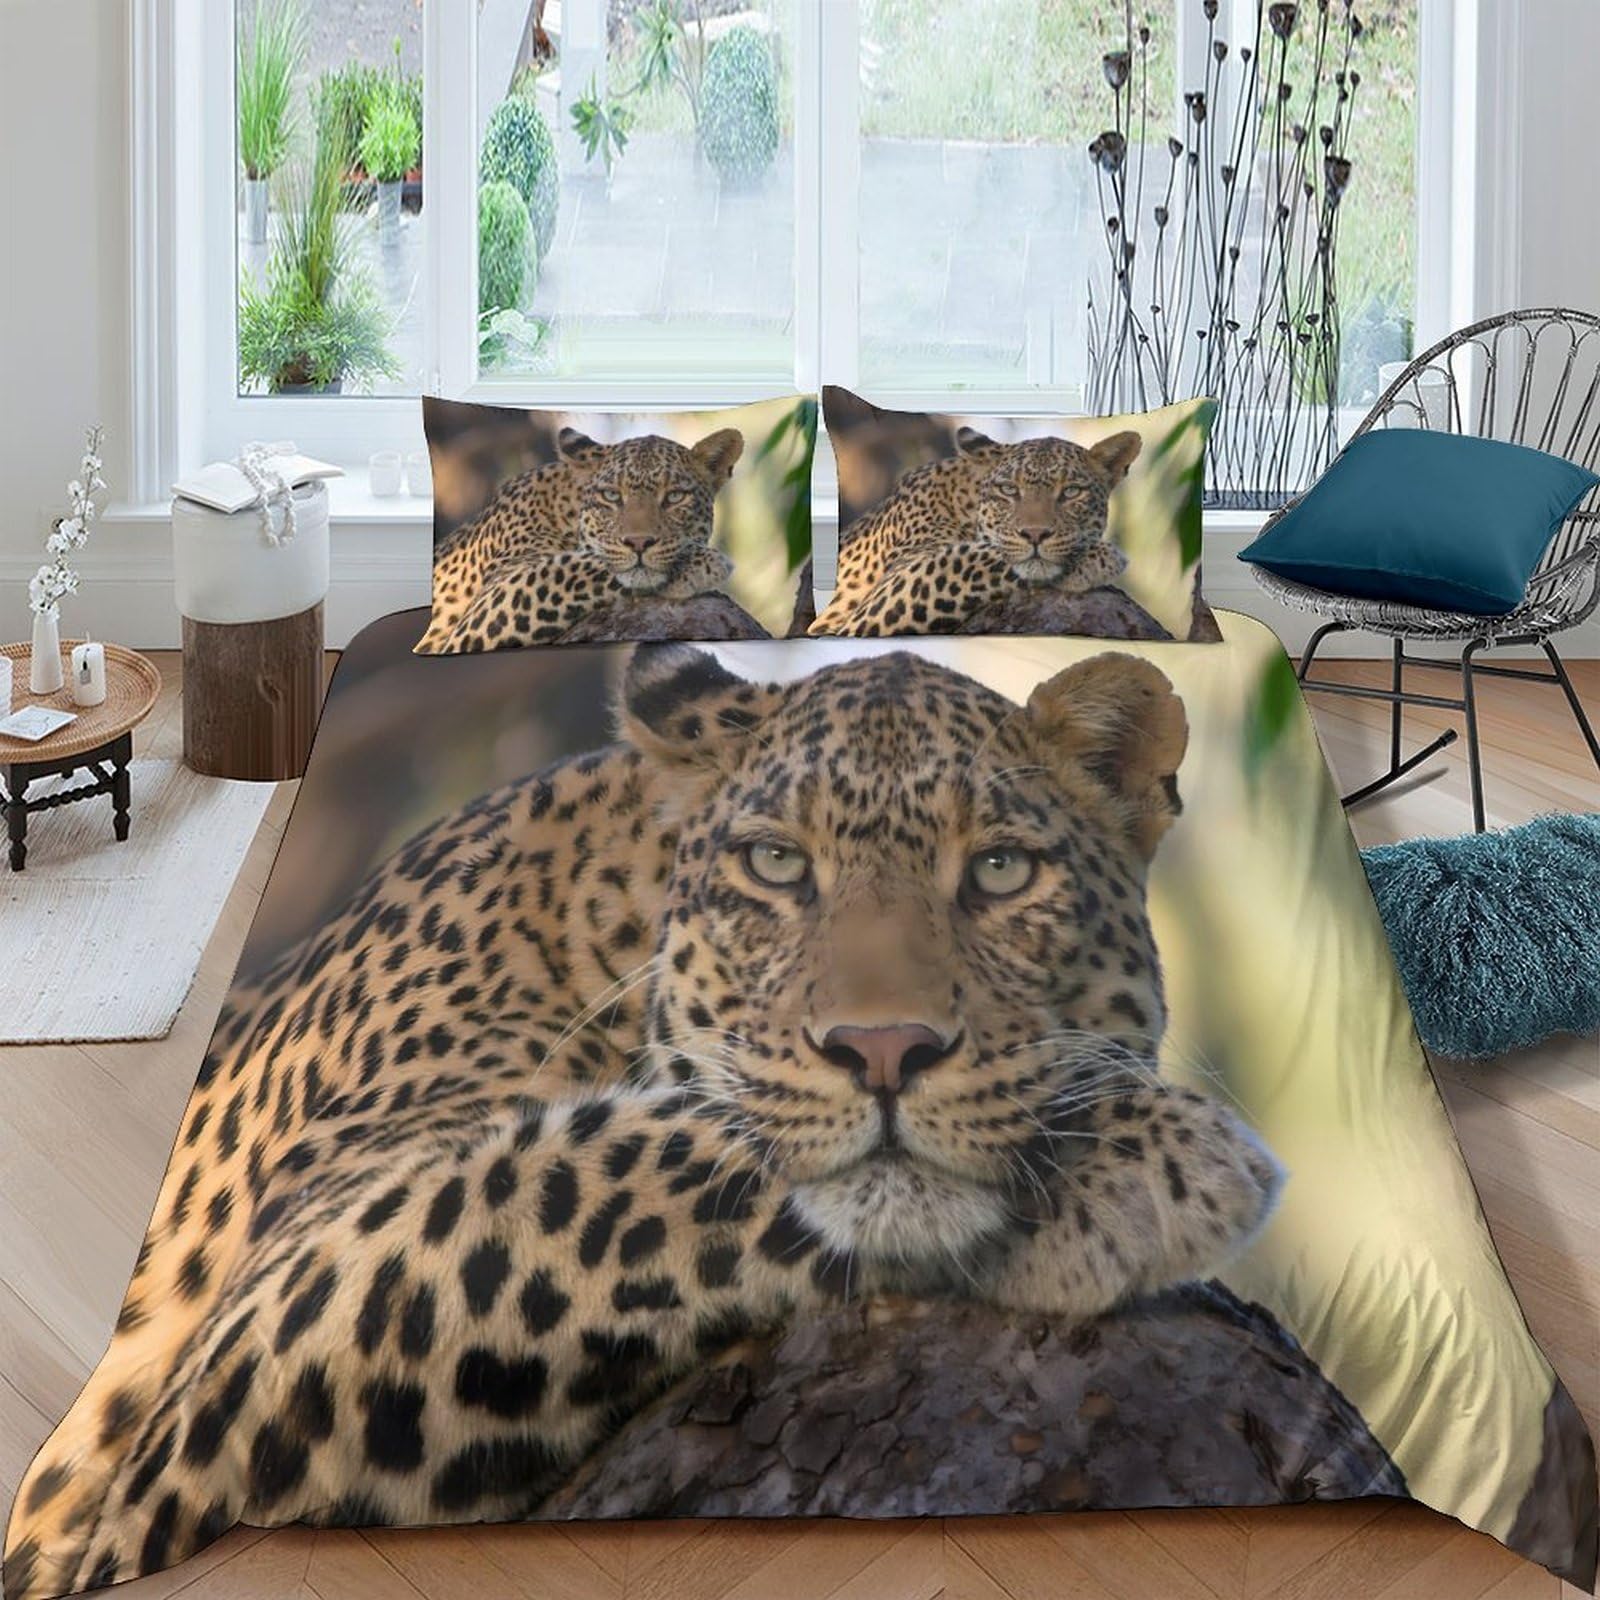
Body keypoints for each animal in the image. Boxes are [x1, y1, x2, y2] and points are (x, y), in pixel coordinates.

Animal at [4, 644, 1282, 1600]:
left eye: (1004, 870)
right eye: (776, 865)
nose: (883, 1049)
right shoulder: (249, 1324)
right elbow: (629, 1156)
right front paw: (1146, 1161)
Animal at [415, 427, 743, 655]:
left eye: (675, 497)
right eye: (611, 495)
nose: (638, 543)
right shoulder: (482, 609)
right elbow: (567, 568)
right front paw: (702, 563)